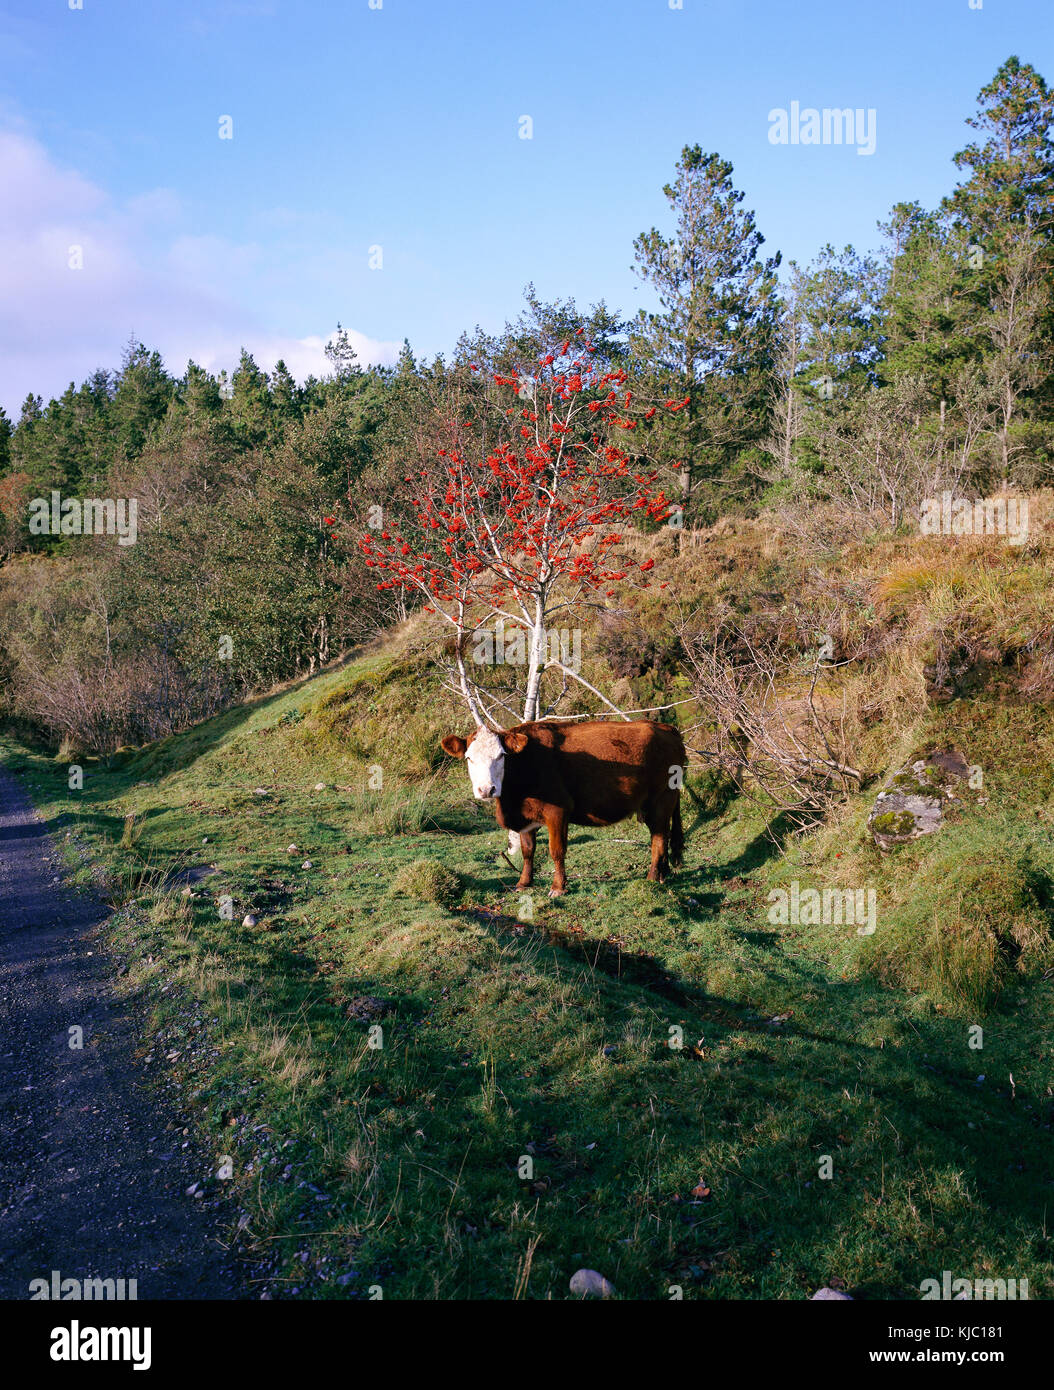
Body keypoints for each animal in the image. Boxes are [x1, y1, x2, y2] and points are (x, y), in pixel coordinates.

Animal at [442, 722, 689, 895]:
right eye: (469, 758)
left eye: (502, 755)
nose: (486, 789)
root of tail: (665, 727)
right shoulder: (527, 817)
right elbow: (528, 850)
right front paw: (524, 882)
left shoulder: (558, 812)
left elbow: (557, 850)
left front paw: (558, 887)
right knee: (663, 836)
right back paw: (663, 873)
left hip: (661, 799)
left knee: (659, 839)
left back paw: (652, 877)